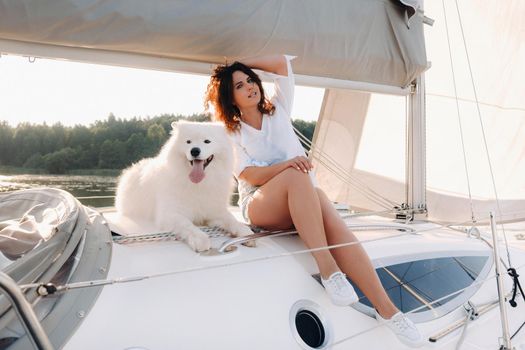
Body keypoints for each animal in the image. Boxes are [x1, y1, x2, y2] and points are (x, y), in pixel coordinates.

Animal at [115, 120, 254, 252]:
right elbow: (187, 225)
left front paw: (247, 234)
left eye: (207, 141)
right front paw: (200, 239)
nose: (195, 150)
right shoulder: (170, 214)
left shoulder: (215, 212)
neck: (199, 185)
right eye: (188, 141)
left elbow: (232, 220)